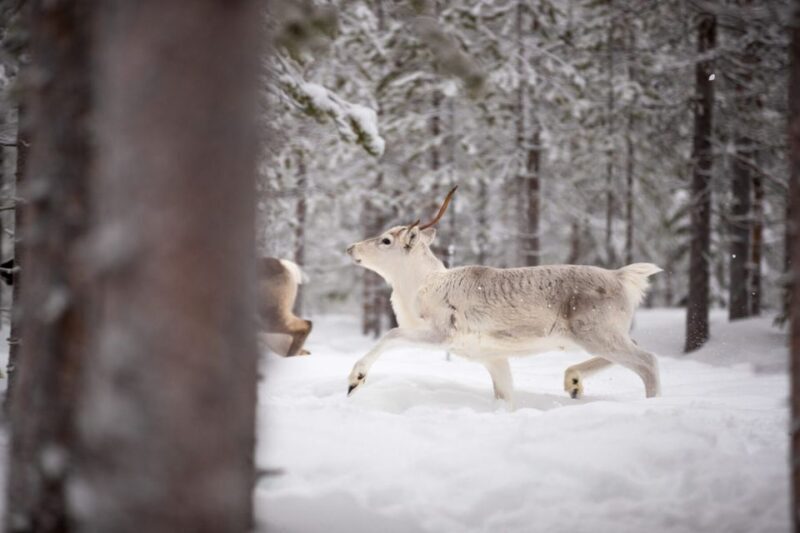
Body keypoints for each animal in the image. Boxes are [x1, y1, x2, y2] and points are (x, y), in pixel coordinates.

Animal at [345, 187, 662, 407]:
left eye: (386, 240)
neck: (421, 286)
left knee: (648, 361)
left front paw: (354, 381)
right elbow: (506, 398)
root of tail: (622, 277)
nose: (351, 248)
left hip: (595, 333)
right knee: (637, 349)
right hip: (599, 334)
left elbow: (391, 335)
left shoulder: (442, 334)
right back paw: (572, 381)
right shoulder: (493, 358)